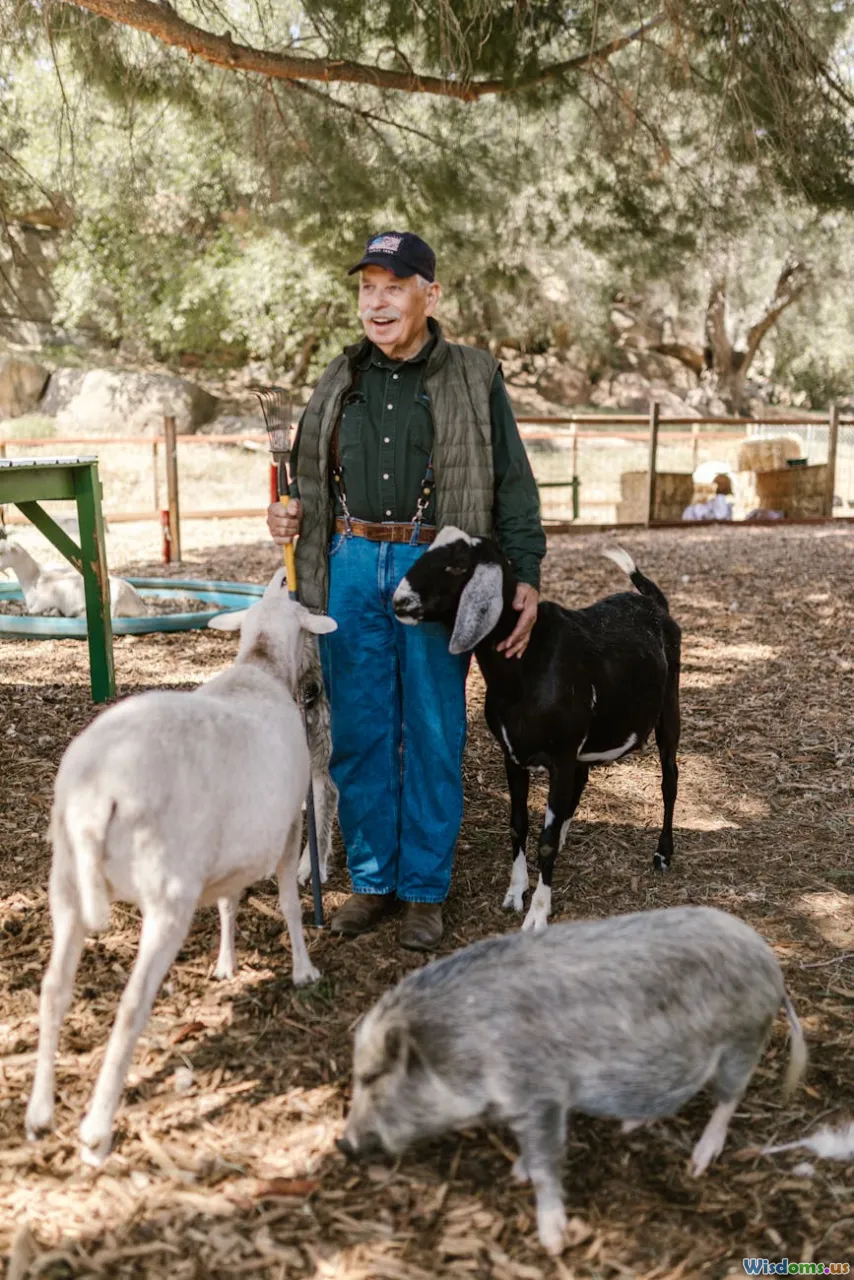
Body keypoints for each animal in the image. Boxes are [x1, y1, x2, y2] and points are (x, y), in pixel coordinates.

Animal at [0, 538, 146, 618]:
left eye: (2, 551)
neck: (34, 578)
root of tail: (140, 604)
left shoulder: (43, 602)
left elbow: (32, 611)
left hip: (115, 602)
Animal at [25, 569, 336, 1167]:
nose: (283, 577)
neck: (259, 667)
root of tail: (101, 791)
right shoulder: (287, 828)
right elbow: (288, 902)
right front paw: (304, 970)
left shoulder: (230, 847)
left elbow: (229, 902)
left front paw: (226, 963)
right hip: (166, 893)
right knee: (130, 1007)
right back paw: (96, 1132)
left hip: (67, 883)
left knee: (53, 990)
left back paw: (39, 1113)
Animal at [392, 529, 681, 931]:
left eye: (458, 565)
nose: (399, 601)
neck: (524, 665)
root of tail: (654, 603)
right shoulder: (513, 755)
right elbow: (519, 824)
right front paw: (516, 893)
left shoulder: (560, 756)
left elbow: (543, 840)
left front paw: (537, 914)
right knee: (581, 783)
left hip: (669, 705)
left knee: (669, 778)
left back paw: (662, 853)